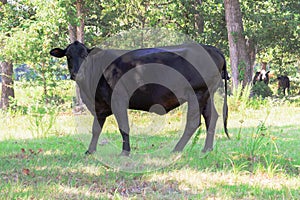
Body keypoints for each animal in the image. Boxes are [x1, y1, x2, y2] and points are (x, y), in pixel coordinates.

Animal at [49, 41, 230, 155]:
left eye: (85, 55)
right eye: (68, 56)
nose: (77, 73)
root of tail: (211, 49)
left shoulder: (119, 101)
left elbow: (123, 127)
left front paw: (125, 152)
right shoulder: (99, 106)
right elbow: (95, 129)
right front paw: (90, 151)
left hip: (197, 93)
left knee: (193, 122)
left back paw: (176, 149)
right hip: (207, 94)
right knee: (211, 117)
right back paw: (207, 149)